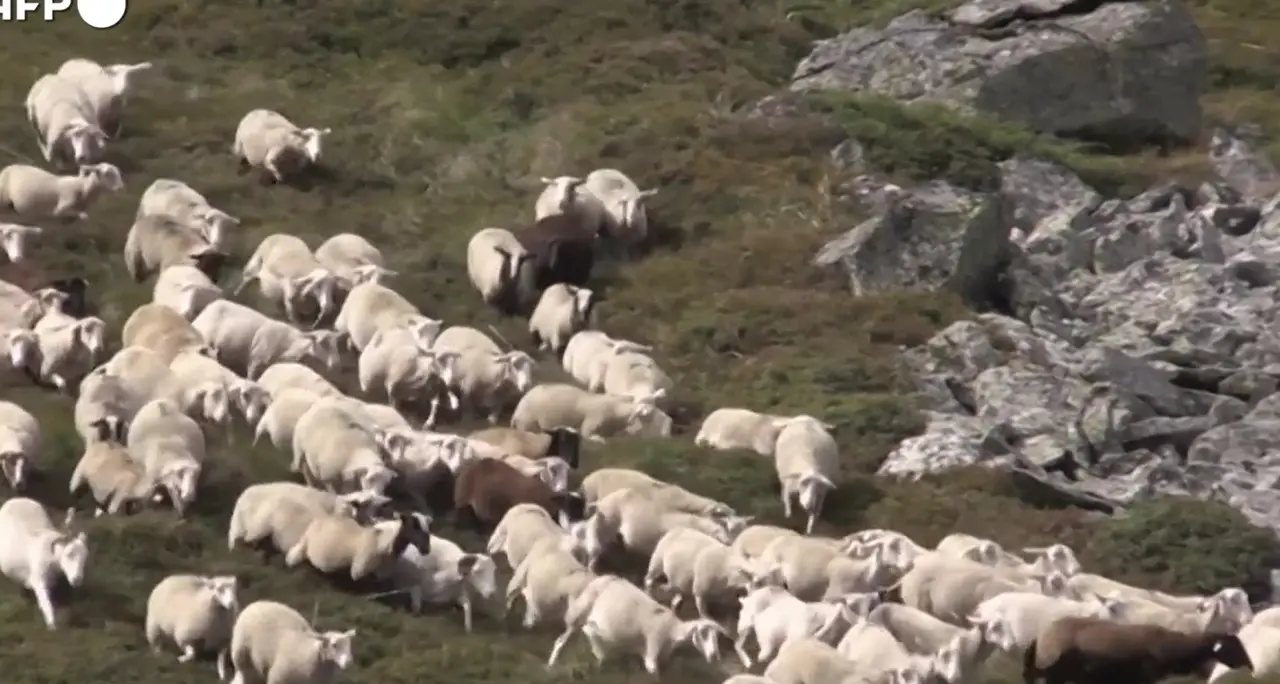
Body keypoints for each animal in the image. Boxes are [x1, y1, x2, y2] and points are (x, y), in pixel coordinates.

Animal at [0, 500, 87, 629]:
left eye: (85, 557)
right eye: (69, 554)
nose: (77, 579)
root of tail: (17, 499)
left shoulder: (52, 581)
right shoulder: (38, 578)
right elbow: (46, 603)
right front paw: (52, 624)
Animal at [511, 382, 669, 442]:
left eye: (653, 401)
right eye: (643, 401)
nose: (646, 412)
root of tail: (515, 413)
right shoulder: (593, 419)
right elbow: (586, 433)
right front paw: (598, 439)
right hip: (531, 421)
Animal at [545, 575, 727, 674]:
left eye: (717, 637)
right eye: (703, 634)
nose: (714, 656)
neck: (673, 630)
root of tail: (600, 578)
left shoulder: (659, 656)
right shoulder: (652, 653)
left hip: (593, 621)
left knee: (590, 633)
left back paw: (599, 656)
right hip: (577, 615)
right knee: (561, 641)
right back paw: (551, 664)